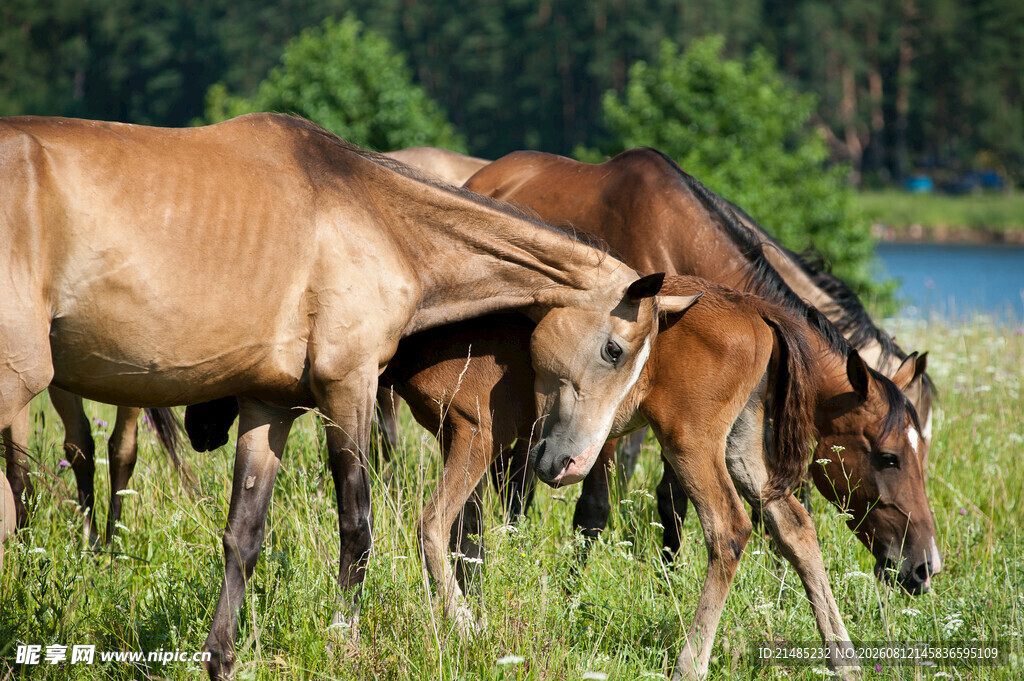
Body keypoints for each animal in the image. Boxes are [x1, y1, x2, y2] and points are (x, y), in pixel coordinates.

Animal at [464, 149, 940, 590]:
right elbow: (594, 509)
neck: (677, 248)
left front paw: (668, 581)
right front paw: (573, 590)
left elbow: (673, 501)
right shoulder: (600, 416)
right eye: (888, 458)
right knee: (514, 476)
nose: (924, 566)